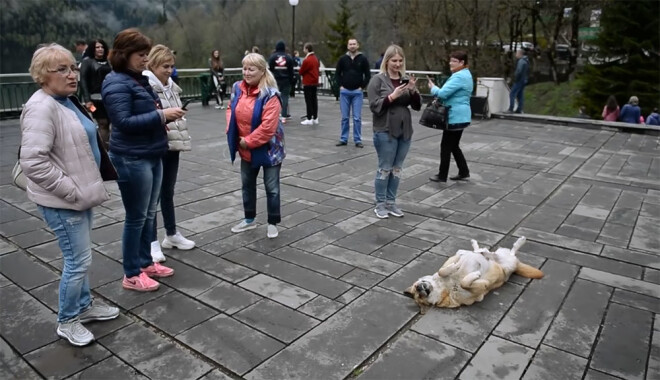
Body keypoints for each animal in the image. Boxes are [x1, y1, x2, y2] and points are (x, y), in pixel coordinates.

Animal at [402, 236, 540, 314]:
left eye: (416, 288)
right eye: (419, 296)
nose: (419, 287)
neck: (446, 287)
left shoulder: (448, 263)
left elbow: (442, 270)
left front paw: (456, 266)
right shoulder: (480, 291)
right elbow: (465, 283)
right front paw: (474, 274)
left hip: (502, 259)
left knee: (496, 251)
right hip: (507, 266)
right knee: (508, 253)